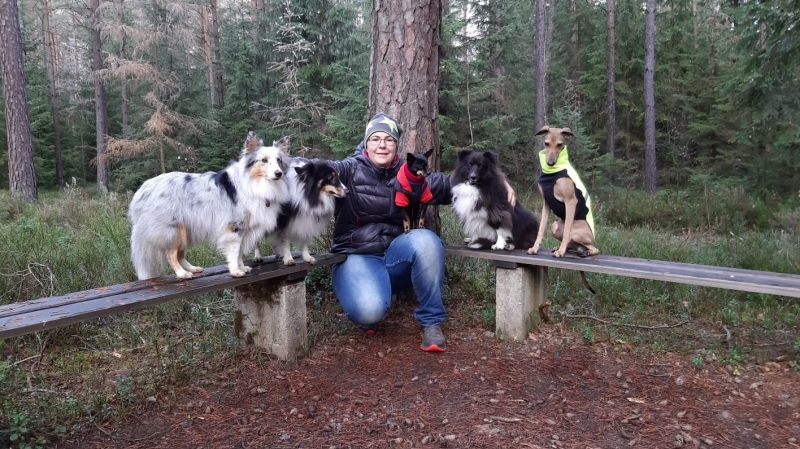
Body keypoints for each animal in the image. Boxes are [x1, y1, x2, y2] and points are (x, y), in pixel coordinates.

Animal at [130, 131, 292, 278]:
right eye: (264, 160)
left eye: (279, 160)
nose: (278, 173)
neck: (254, 183)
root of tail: (142, 190)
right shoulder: (234, 227)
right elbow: (234, 252)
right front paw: (235, 271)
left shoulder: (243, 230)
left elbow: (239, 252)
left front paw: (242, 267)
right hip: (173, 230)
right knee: (171, 254)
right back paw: (182, 274)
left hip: (185, 230)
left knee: (180, 255)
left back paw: (193, 269)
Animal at [528, 126, 596, 260]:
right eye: (546, 143)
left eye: (560, 144)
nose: (550, 163)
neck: (551, 173)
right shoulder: (546, 204)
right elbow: (541, 230)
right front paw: (535, 248)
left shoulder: (570, 202)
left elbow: (566, 233)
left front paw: (561, 252)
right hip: (555, 226)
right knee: (573, 244)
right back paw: (563, 248)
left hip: (578, 233)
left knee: (593, 248)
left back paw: (582, 251)